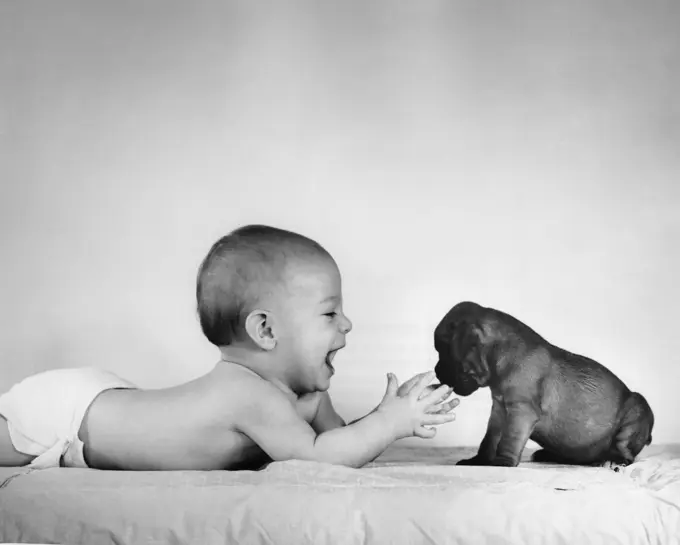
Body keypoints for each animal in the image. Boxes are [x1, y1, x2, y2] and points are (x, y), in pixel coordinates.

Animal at [436, 300, 652, 466]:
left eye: (444, 351)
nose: (437, 372)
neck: (502, 358)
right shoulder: (499, 410)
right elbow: (489, 439)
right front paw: (479, 460)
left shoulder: (521, 411)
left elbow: (509, 439)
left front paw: (503, 461)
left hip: (633, 417)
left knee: (624, 451)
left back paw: (613, 459)